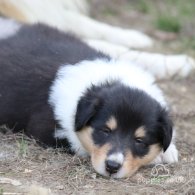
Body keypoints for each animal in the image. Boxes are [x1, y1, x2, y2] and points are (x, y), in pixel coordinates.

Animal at [0, 18, 177, 178]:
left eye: (139, 140)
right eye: (105, 131)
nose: (112, 166)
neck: (107, 80)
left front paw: (167, 152)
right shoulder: (49, 129)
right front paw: (158, 157)